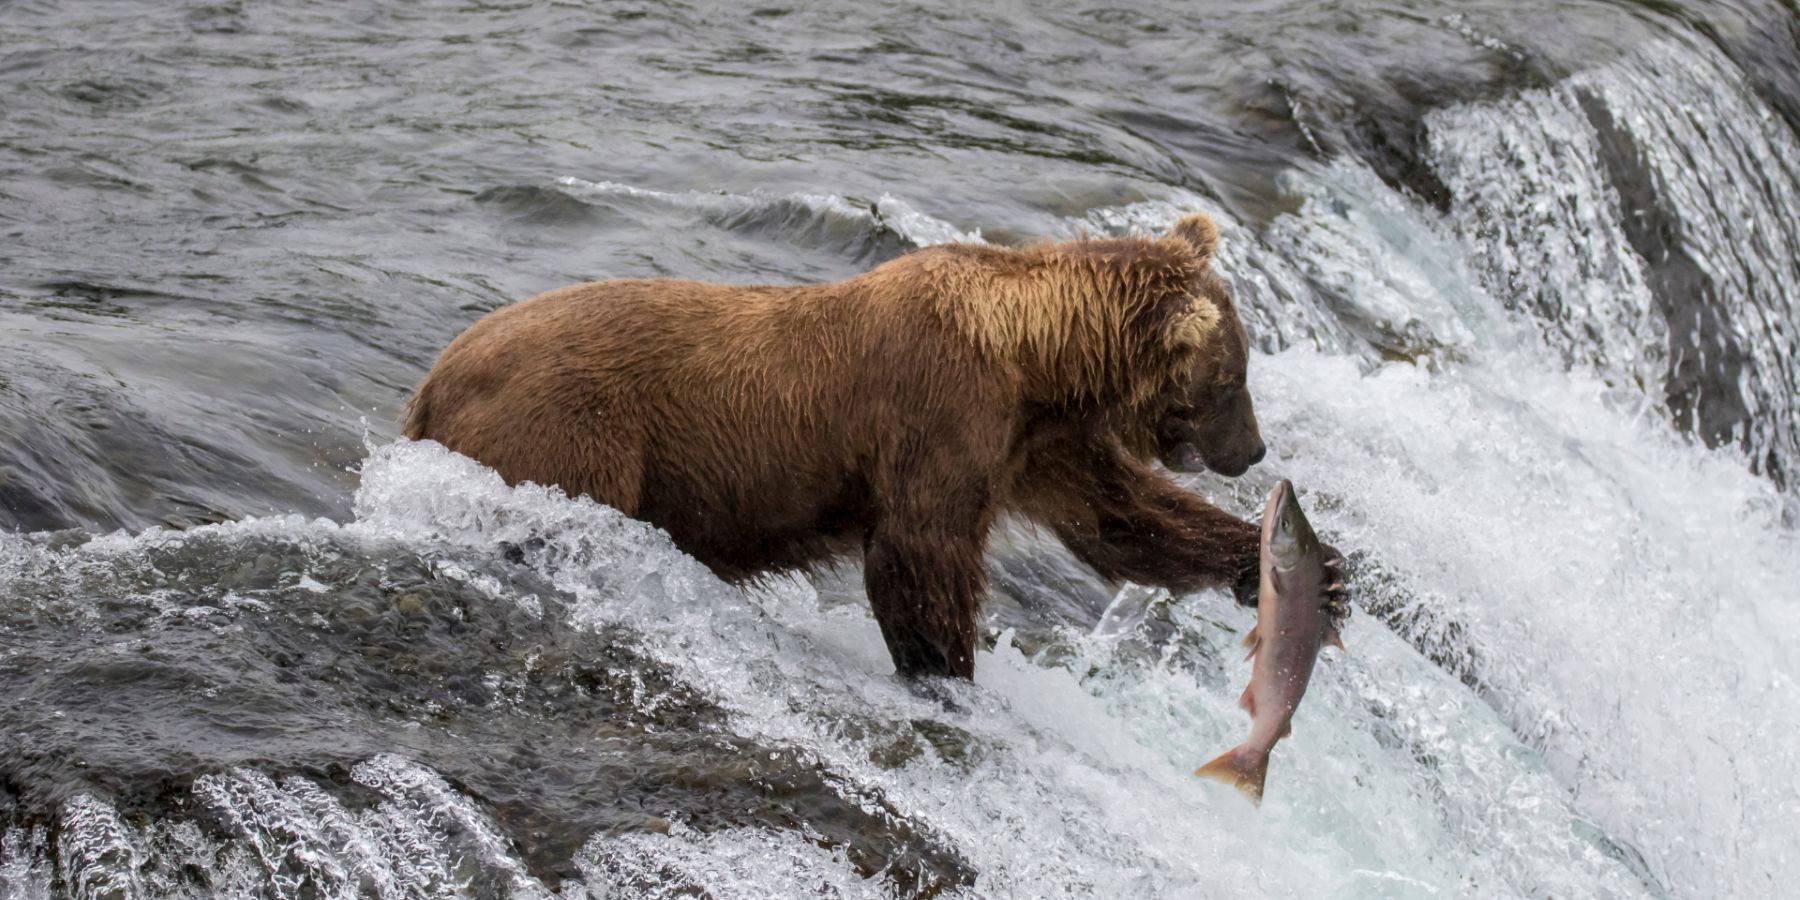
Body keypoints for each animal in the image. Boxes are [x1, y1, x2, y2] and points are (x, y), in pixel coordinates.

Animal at [404, 214, 1281, 680]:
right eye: (1233, 378)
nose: (1256, 451)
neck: (1038, 359)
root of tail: (431, 383)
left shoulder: (1032, 442)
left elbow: (1123, 519)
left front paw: (1276, 563)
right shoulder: (944, 413)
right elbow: (919, 551)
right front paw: (945, 669)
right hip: (567, 434)